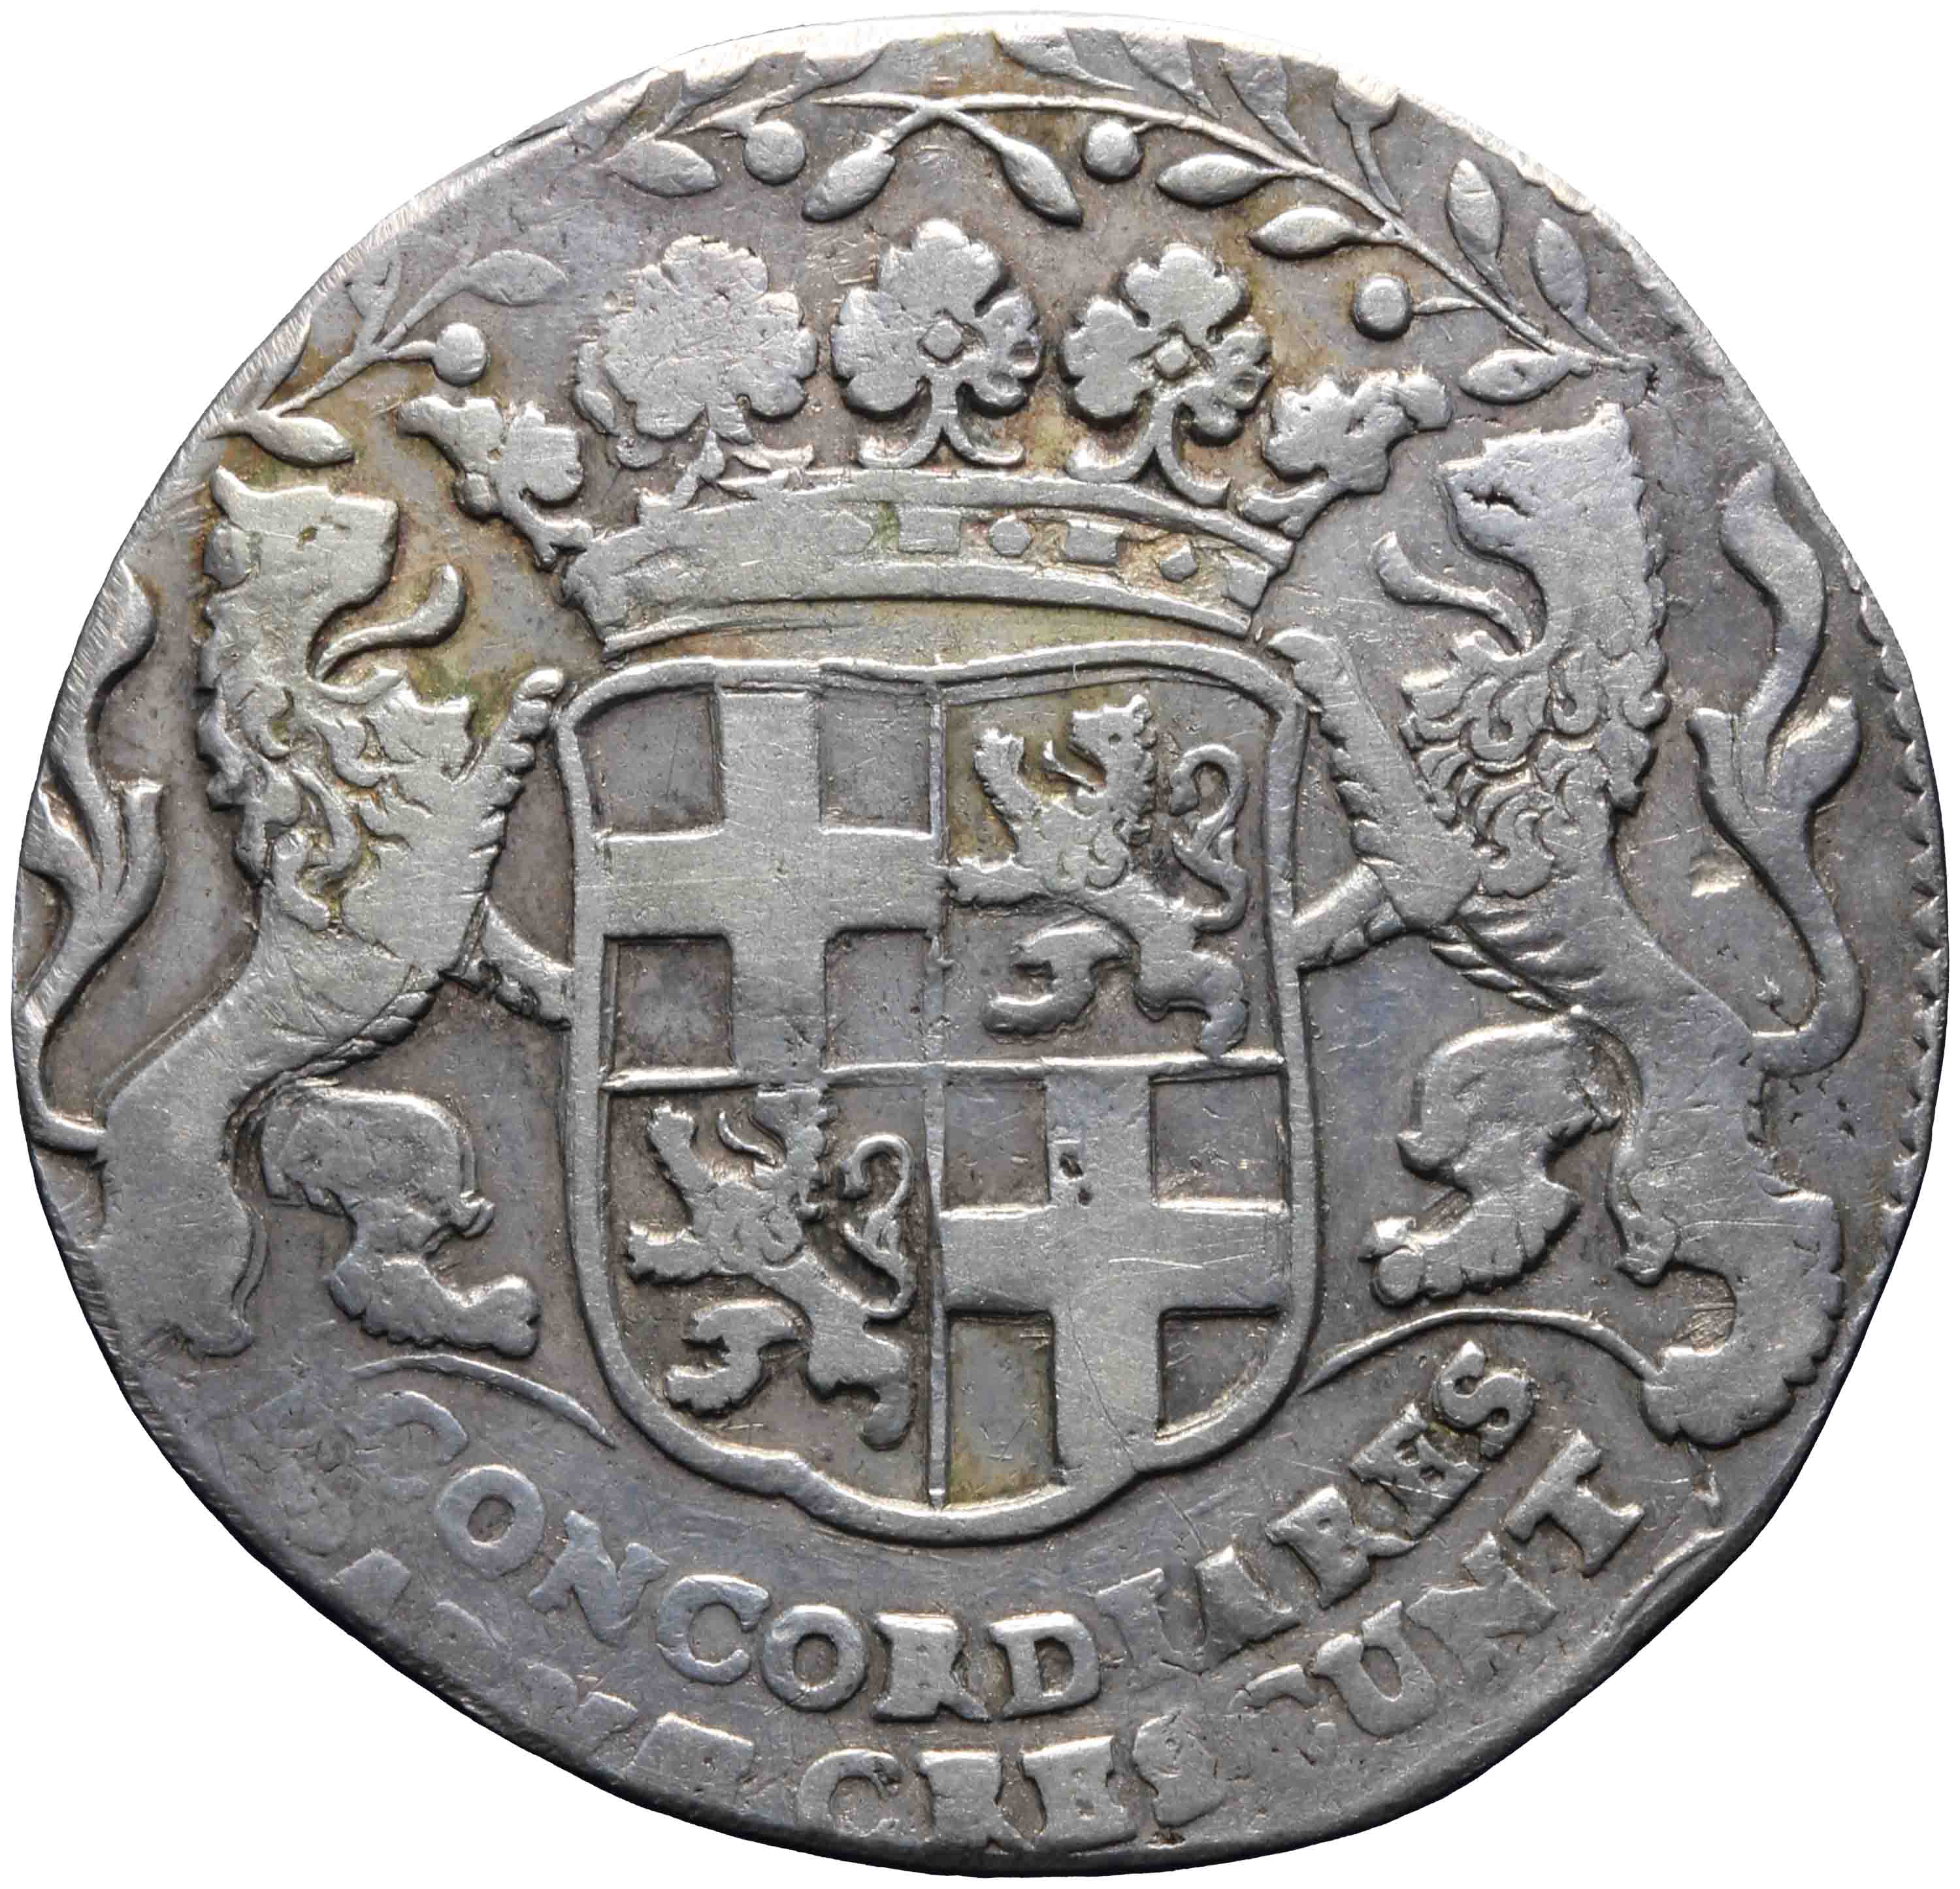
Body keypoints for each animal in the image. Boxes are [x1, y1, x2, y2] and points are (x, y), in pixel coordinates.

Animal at [1277, 405, 1863, 1447]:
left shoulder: (1448, 866)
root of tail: (1751, 1041)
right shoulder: (1394, 890)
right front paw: (1259, 949)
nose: (1454, 473)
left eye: (1514, 471)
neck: (1540, 663)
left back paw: (1717, 1387)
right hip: (1491, 1078)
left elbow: (1377, 770)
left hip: (1672, 1152)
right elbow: (1338, 911)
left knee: (1789, 1230)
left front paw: (1315, 651)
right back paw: (1425, 1263)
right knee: (1524, 1189)